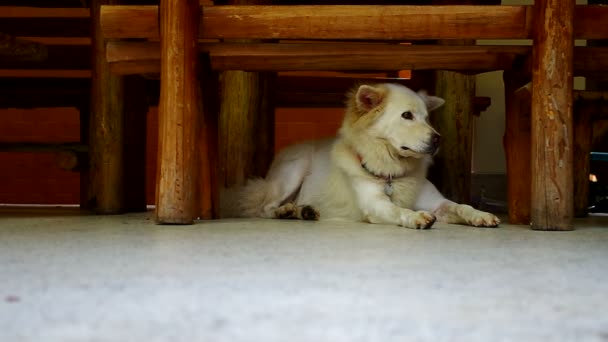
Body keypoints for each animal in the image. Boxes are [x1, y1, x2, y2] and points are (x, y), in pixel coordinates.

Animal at [221, 82, 502, 230]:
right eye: (407, 115)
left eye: (426, 118)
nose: (437, 139)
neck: (392, 175)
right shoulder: (375, 205)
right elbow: (396, 210)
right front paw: (414, 216)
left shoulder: (438, 203)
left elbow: (460, 206)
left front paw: (480, 215)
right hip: (294, 171)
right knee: (263, 208)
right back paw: (286, 211)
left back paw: (304, 211)